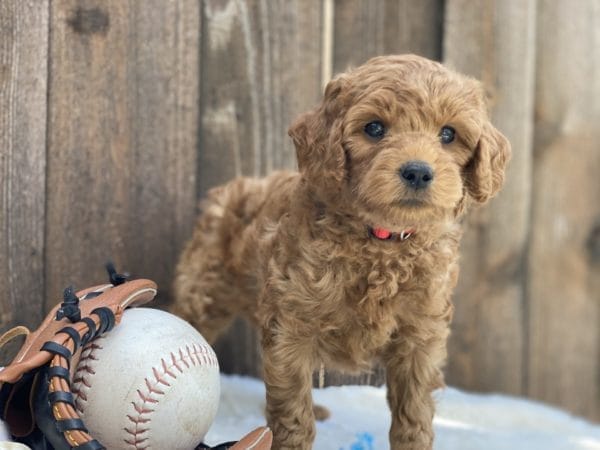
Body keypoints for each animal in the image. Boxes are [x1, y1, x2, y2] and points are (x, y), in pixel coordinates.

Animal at [172, 54, 510, 448]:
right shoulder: (293, 324)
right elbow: (292, 409)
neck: (382, 241)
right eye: (374, 128)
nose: (418, 172)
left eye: (448, 134)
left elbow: (414, 414)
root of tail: (235, 187)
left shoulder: (420, 337)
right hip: (205, 291)